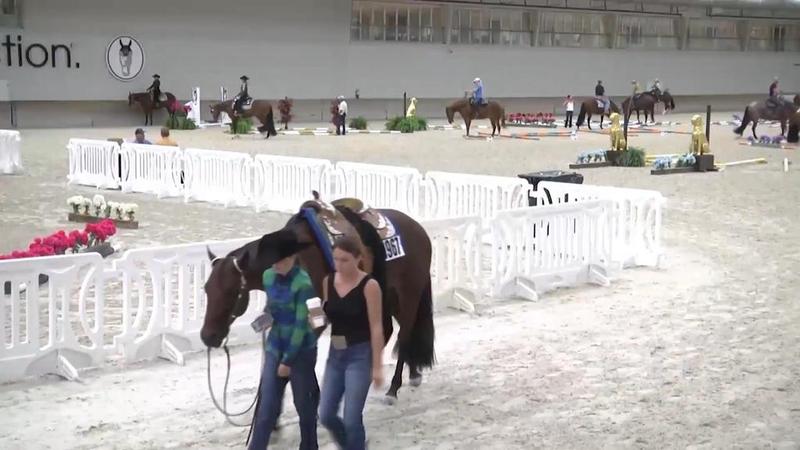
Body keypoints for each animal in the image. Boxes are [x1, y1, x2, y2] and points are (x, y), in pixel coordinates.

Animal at [200, 193, 435, 403]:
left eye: (231, 291)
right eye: (206, 290)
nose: (208, 336)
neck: (298, 256)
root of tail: (419, 229)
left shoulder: (315, 319)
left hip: (408, 294)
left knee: (404, 334)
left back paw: (393, 388)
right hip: (386, 297)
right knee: (390, 330)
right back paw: (410, 374)